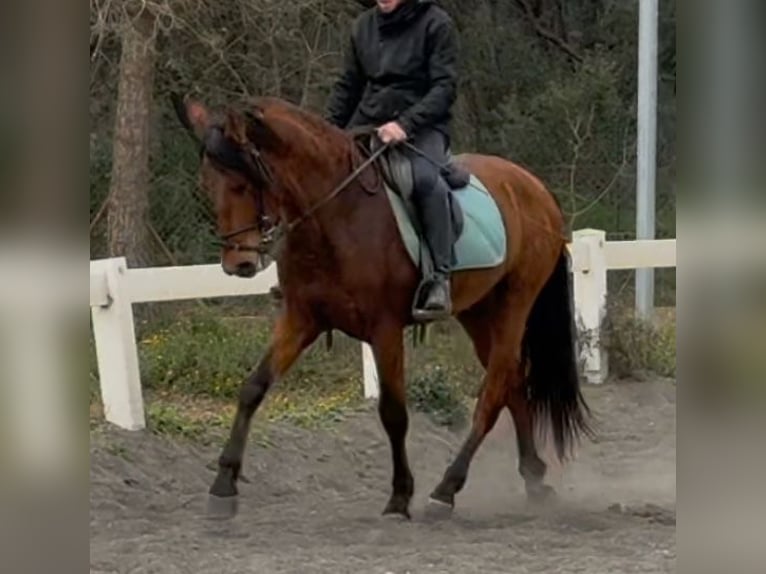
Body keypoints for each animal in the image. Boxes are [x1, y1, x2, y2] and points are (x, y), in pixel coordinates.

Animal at [174, 93, 592, 520]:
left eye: (244, 183)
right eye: (208, 184)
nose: (238, 264)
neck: (336, 215)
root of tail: (534, 187)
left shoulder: (384, 328)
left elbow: (393, 412)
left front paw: (400, 495)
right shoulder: (300, 319)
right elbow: (253, 388)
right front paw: (223, 485)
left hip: (514, 303)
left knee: (494, 391)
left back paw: (446, 489)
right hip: (477, 312)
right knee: (512, 383)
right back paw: (534, 477)